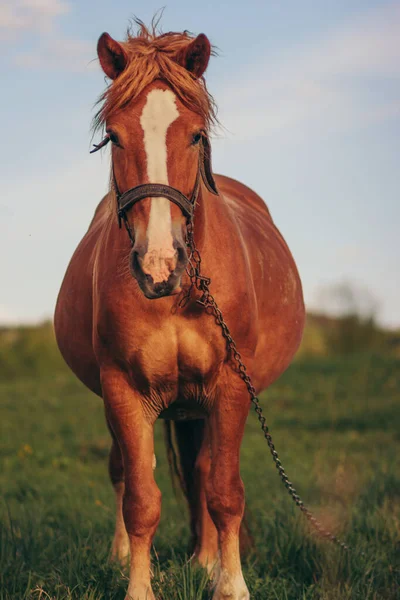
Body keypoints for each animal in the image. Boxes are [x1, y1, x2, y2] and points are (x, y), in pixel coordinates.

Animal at [53, 21, 304, 596]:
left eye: (194, 135)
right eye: (115, 137)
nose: (158, 265)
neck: (180, 296)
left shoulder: (231, 387)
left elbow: (224, 491)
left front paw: (230, 585)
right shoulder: (123, 390)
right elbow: (141, 500)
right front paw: (138, 586)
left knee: (205, 471)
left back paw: (207, 561)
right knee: (123, 470)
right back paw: (124, 554)